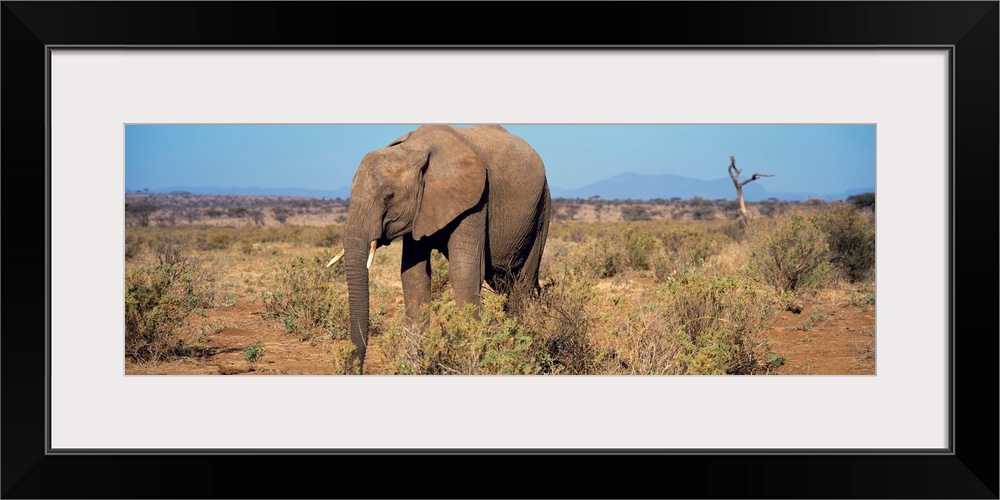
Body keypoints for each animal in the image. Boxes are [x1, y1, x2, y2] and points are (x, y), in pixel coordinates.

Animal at [334, 125, 556, 374]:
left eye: (389, 196)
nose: (353, 369)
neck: (415, 149)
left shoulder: (476, 199)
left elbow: (464, 272)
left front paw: (471, 363)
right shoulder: (421, 209)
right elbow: (413, 276)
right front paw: (414, 366)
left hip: (542, 208)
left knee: (522, 281)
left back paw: (520, 347)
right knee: (503, 281)